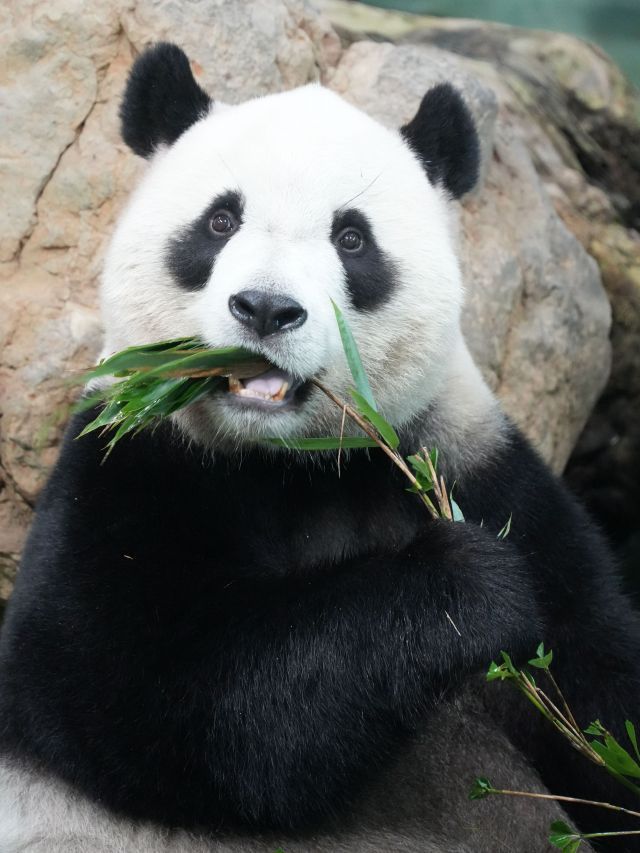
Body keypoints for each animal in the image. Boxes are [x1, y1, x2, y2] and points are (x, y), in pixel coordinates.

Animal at [0, 42, 638, 853]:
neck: (289, 463)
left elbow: (597, 686)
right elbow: (146, 695)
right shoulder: (131, 462)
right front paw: (464, 587)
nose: (266, 308)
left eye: (352, 238)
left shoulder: (476, 468)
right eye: (220, 220)